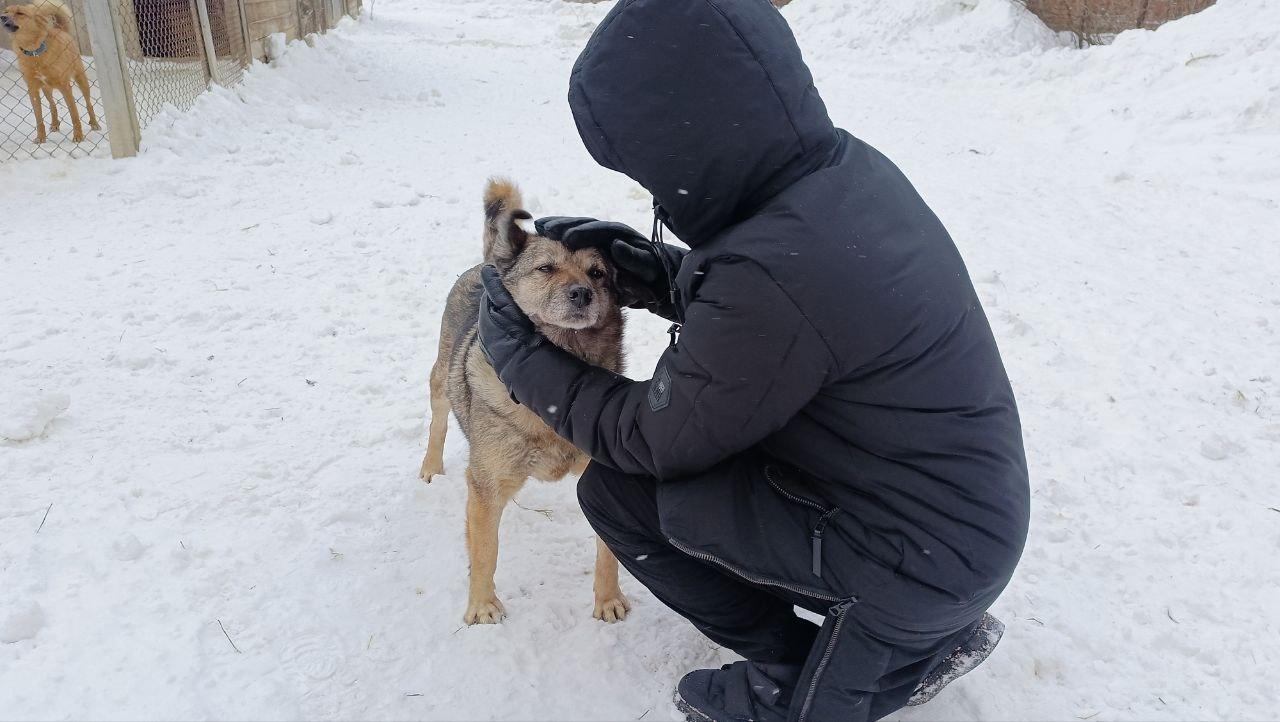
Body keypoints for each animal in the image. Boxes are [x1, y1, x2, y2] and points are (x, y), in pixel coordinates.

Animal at [1, 0, 99, 144]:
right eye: (6, 12)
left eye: (20, 13)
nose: (2, 17)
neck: (35, 52)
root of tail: (60, 30)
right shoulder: (33, 90)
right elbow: (39, 118)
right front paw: (40, 138)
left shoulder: (65, 87)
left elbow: (74, 114)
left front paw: (78, 136)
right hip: (46, 89)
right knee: (53, 106)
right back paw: (54, 124)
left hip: (81, 80)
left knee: (89, 104)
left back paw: (94, 123)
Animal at [422, 180, 632, 627]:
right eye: (546, 268)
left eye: (597, 272)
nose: (582, 293)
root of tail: (490, 263)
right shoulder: (485, 485)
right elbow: (485, 551)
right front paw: (482, 605)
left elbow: (608, 552)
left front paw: (608, 599)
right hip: (442, 379)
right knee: (438, 417)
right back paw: (431, 466)